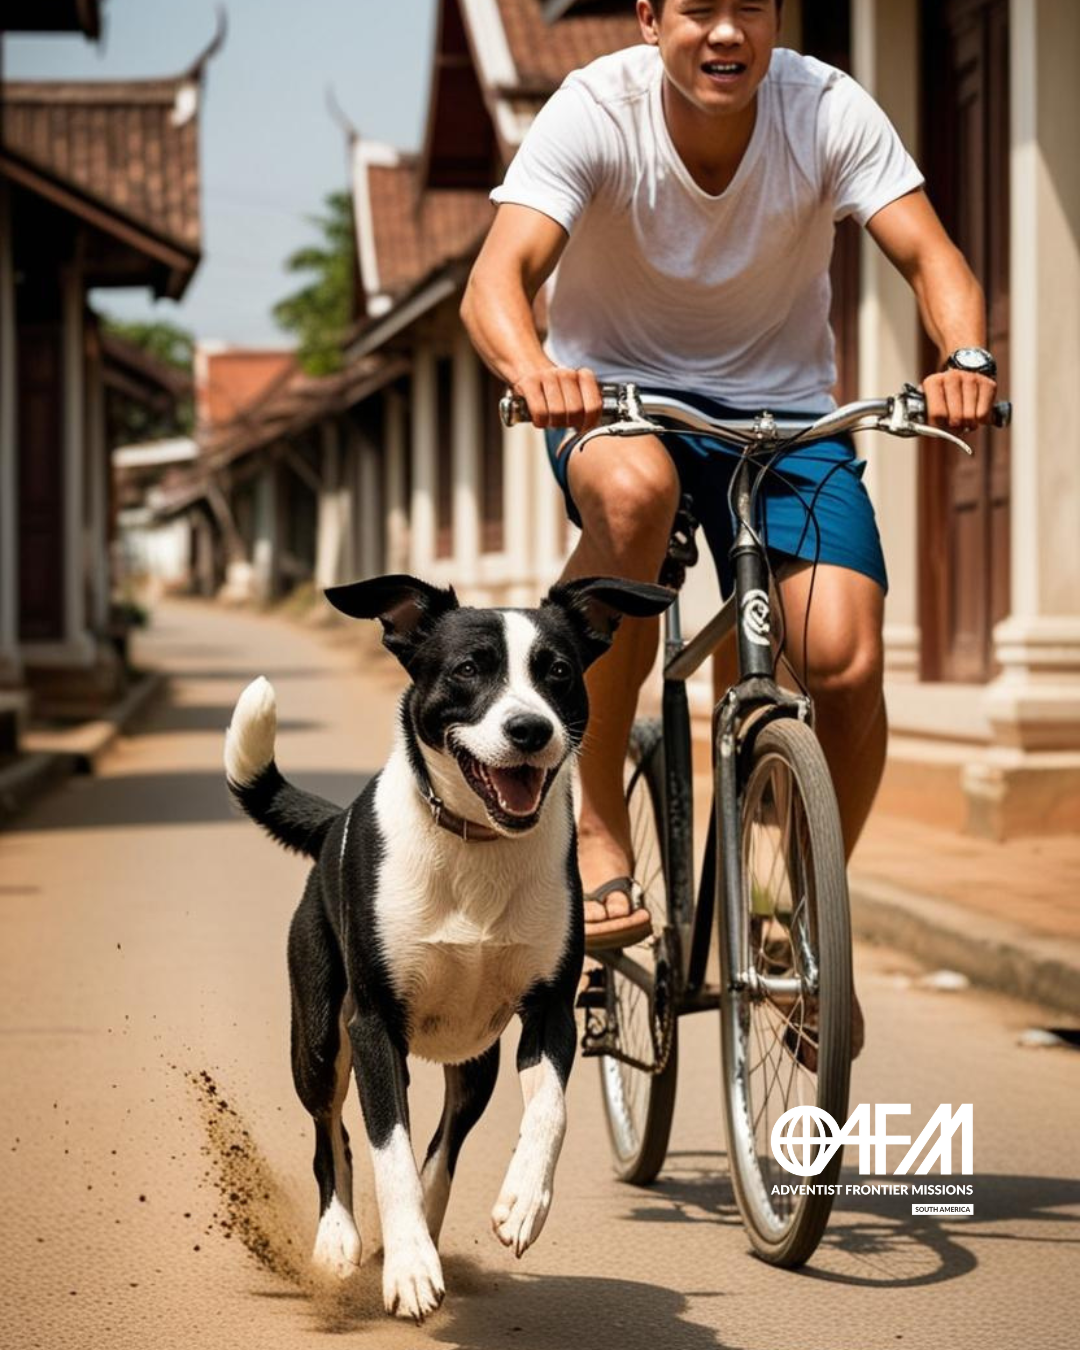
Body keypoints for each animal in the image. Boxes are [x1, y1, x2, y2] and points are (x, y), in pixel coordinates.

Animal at [224, 572, 669, 1317]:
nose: (530, 728)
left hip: (474, 1061)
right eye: (468, 670)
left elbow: (547, 1110)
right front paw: (405, 1269)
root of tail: (334, 825)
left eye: (557, 671)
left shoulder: (548, 1011)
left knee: (446, 1143)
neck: (478, 842)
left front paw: (523, 1202)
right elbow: (390, 1155)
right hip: (318, 1034)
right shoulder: (373, 1025)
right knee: (332, 1134)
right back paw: (342, 1240)